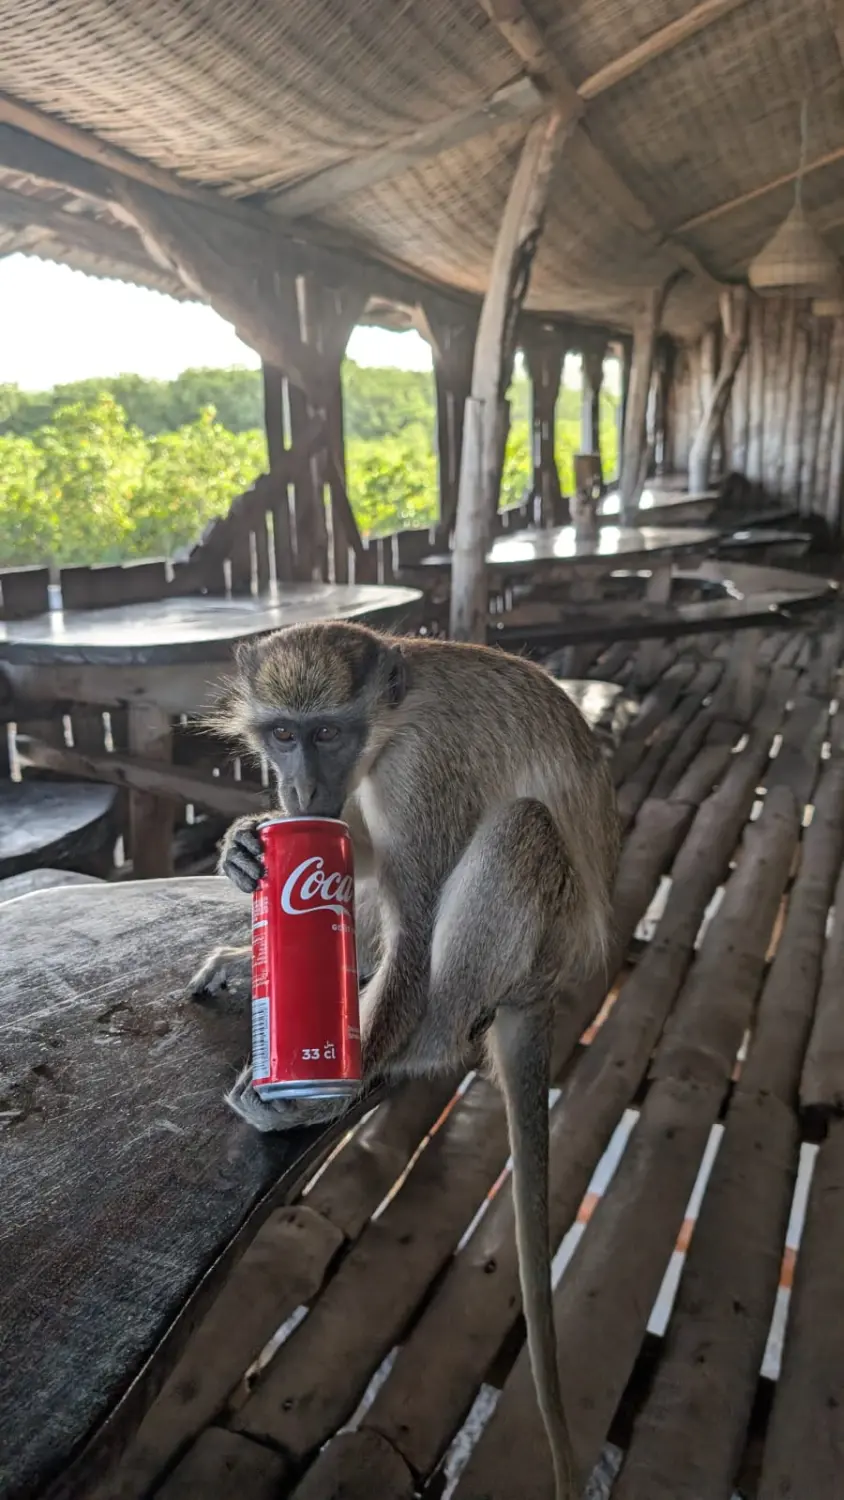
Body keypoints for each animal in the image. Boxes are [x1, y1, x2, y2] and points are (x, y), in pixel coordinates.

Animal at [188, 621, 617, 1500]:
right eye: (282, 735)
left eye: (327, 732)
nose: (297, 784)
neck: (387, 720)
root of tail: (550, 987)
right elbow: (346, 852)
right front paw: (246, 848)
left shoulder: (423, 770)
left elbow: (415, 919)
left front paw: (318, 1091)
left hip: (539, 949)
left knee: (518, 830)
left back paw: (409, 1049)